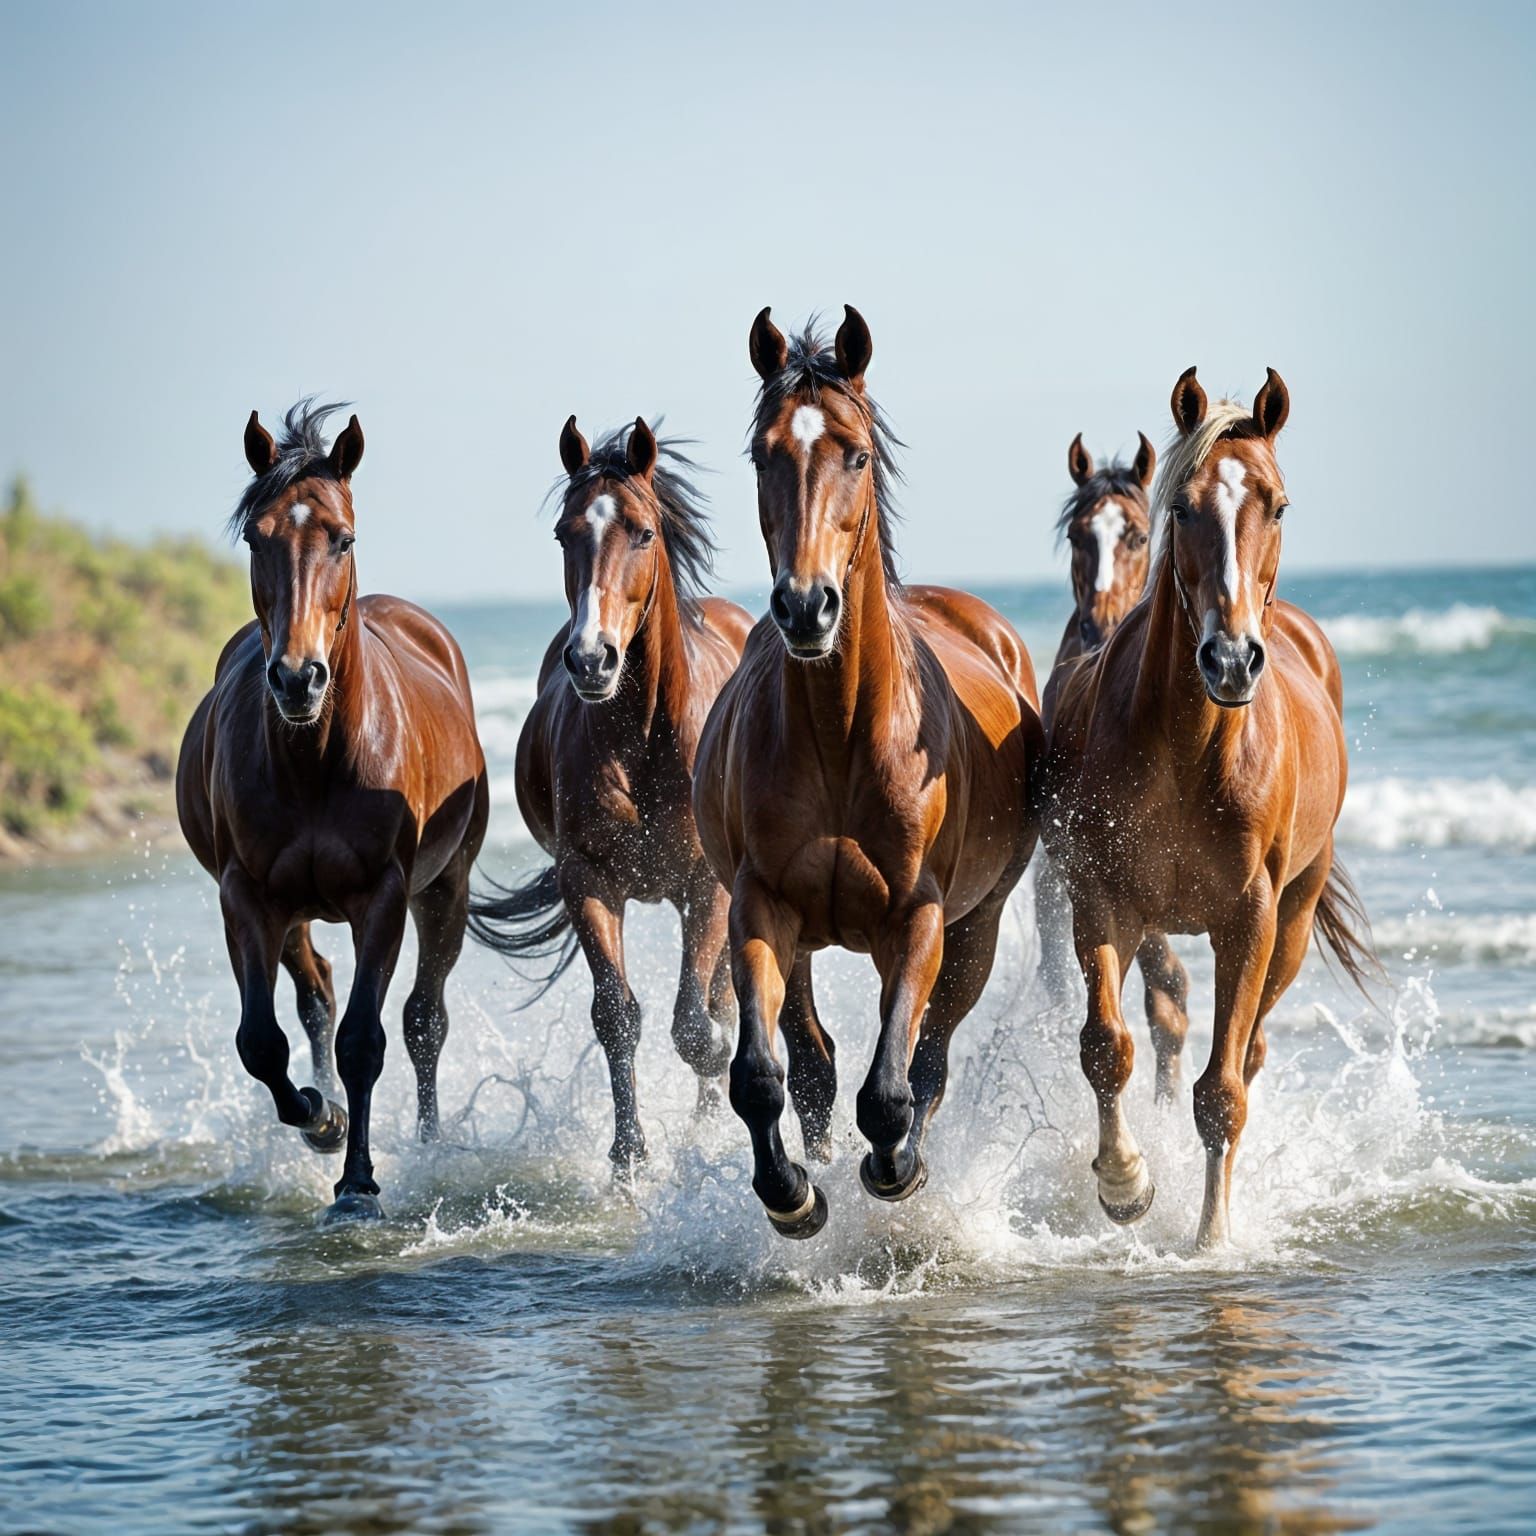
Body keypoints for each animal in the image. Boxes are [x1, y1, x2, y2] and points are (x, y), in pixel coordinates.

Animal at [176, 400, 489, 1222]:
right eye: (256, 537)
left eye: (342, 538)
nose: (297, 678)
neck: (317, 759)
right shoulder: (246, 897)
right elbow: (262, 1041)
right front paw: (322, 1120)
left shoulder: (383, 896)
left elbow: (364, 1041)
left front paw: (358, 1184)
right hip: (291, 909)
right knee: (313, 990)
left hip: (446, 890)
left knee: (422, 1021)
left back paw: (428, 1142)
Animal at [467, 418, 752, 1175]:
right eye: (565, 533)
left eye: (644, 532)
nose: (592, 659)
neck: (645, 738)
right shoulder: (589, 880)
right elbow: (618, 1016)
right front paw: (628, 1159)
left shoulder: (706, 885)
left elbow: (698, 1023)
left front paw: (715, 1082)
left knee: (720, 997)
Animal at [693, 306, 1043, 1238]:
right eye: (763, 455)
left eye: (853, 453)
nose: (806, 606)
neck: (843, 732)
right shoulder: (759, 907)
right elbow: (761, 1076)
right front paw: (793, 1196)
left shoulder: (919, 920)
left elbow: (892, 1088)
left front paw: (895, 1172)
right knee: (812, 1058)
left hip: (976, 928)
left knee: (928, 1060)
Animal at [1040, 366, 1376, 1248]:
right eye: (1184, 507)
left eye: (1278, 504)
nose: (1231, 659)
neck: (1190, 749)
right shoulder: (1104, 899)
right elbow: (1108, 1045)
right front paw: (1125, 1183)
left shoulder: (1249, 920)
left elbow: (1221, 1091)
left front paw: (1212, 1235)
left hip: (1292, 922)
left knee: (1247, 1057)